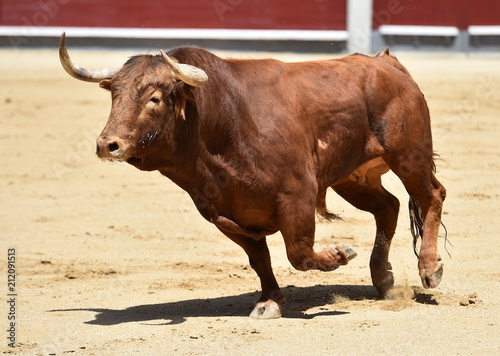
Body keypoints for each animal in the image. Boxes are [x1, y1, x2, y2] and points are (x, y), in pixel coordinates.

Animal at [58, 32, 446, 318]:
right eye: (115, 95)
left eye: (154, 98)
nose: (107, 145)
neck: (224, 121)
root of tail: (385, 63)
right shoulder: (222, 212)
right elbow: (259, 258)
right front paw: (270, 302)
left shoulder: (297, 195)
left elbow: (299, 252)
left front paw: (340, 254)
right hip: (353, 177)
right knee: (388, 207)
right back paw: (384, 279)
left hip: (409, 156)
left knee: (431, 196)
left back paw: (429, 270)